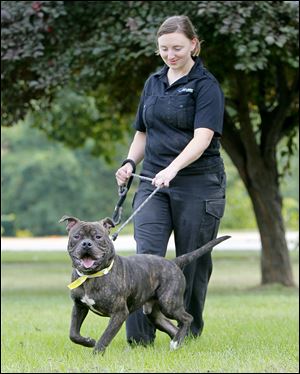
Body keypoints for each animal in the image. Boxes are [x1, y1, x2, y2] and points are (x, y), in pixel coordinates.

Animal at [59, 215, 231, 356]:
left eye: (98, 236)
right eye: (76, 236)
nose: (86, 244)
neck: (91, 276)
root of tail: (174, 262)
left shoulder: (119, 313)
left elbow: (105, 336)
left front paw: (96, 352)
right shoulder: (79, 307)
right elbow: (73, 334)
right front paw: (88, 341)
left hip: (169, 304)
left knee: (188, 318)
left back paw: (176, 342)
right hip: (154, 313)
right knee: (173, 327)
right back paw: (178, 344)